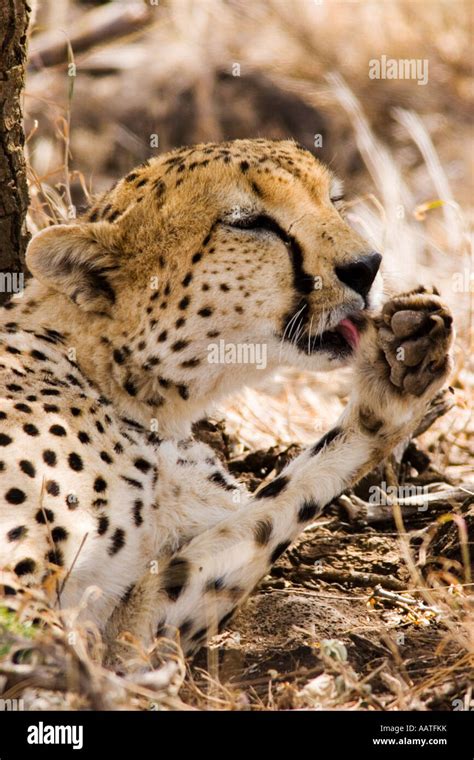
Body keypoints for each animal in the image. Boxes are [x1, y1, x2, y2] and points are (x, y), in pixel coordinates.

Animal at [0, 140, 454, 664]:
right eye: (249, 222)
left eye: (333, 201)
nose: (367, 266)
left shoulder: (130, 624)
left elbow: (272, 509)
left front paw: (399, 370)